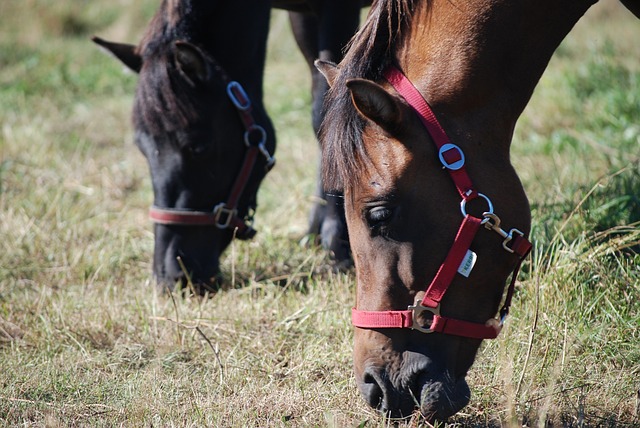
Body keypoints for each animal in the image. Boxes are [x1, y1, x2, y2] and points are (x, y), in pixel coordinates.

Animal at [92, 0, 368, 292]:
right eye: (142, 149)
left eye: (198, 147)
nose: (172, 274)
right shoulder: (304, 15)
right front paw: (315, 232)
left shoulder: (339, 10)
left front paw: (338, 244)